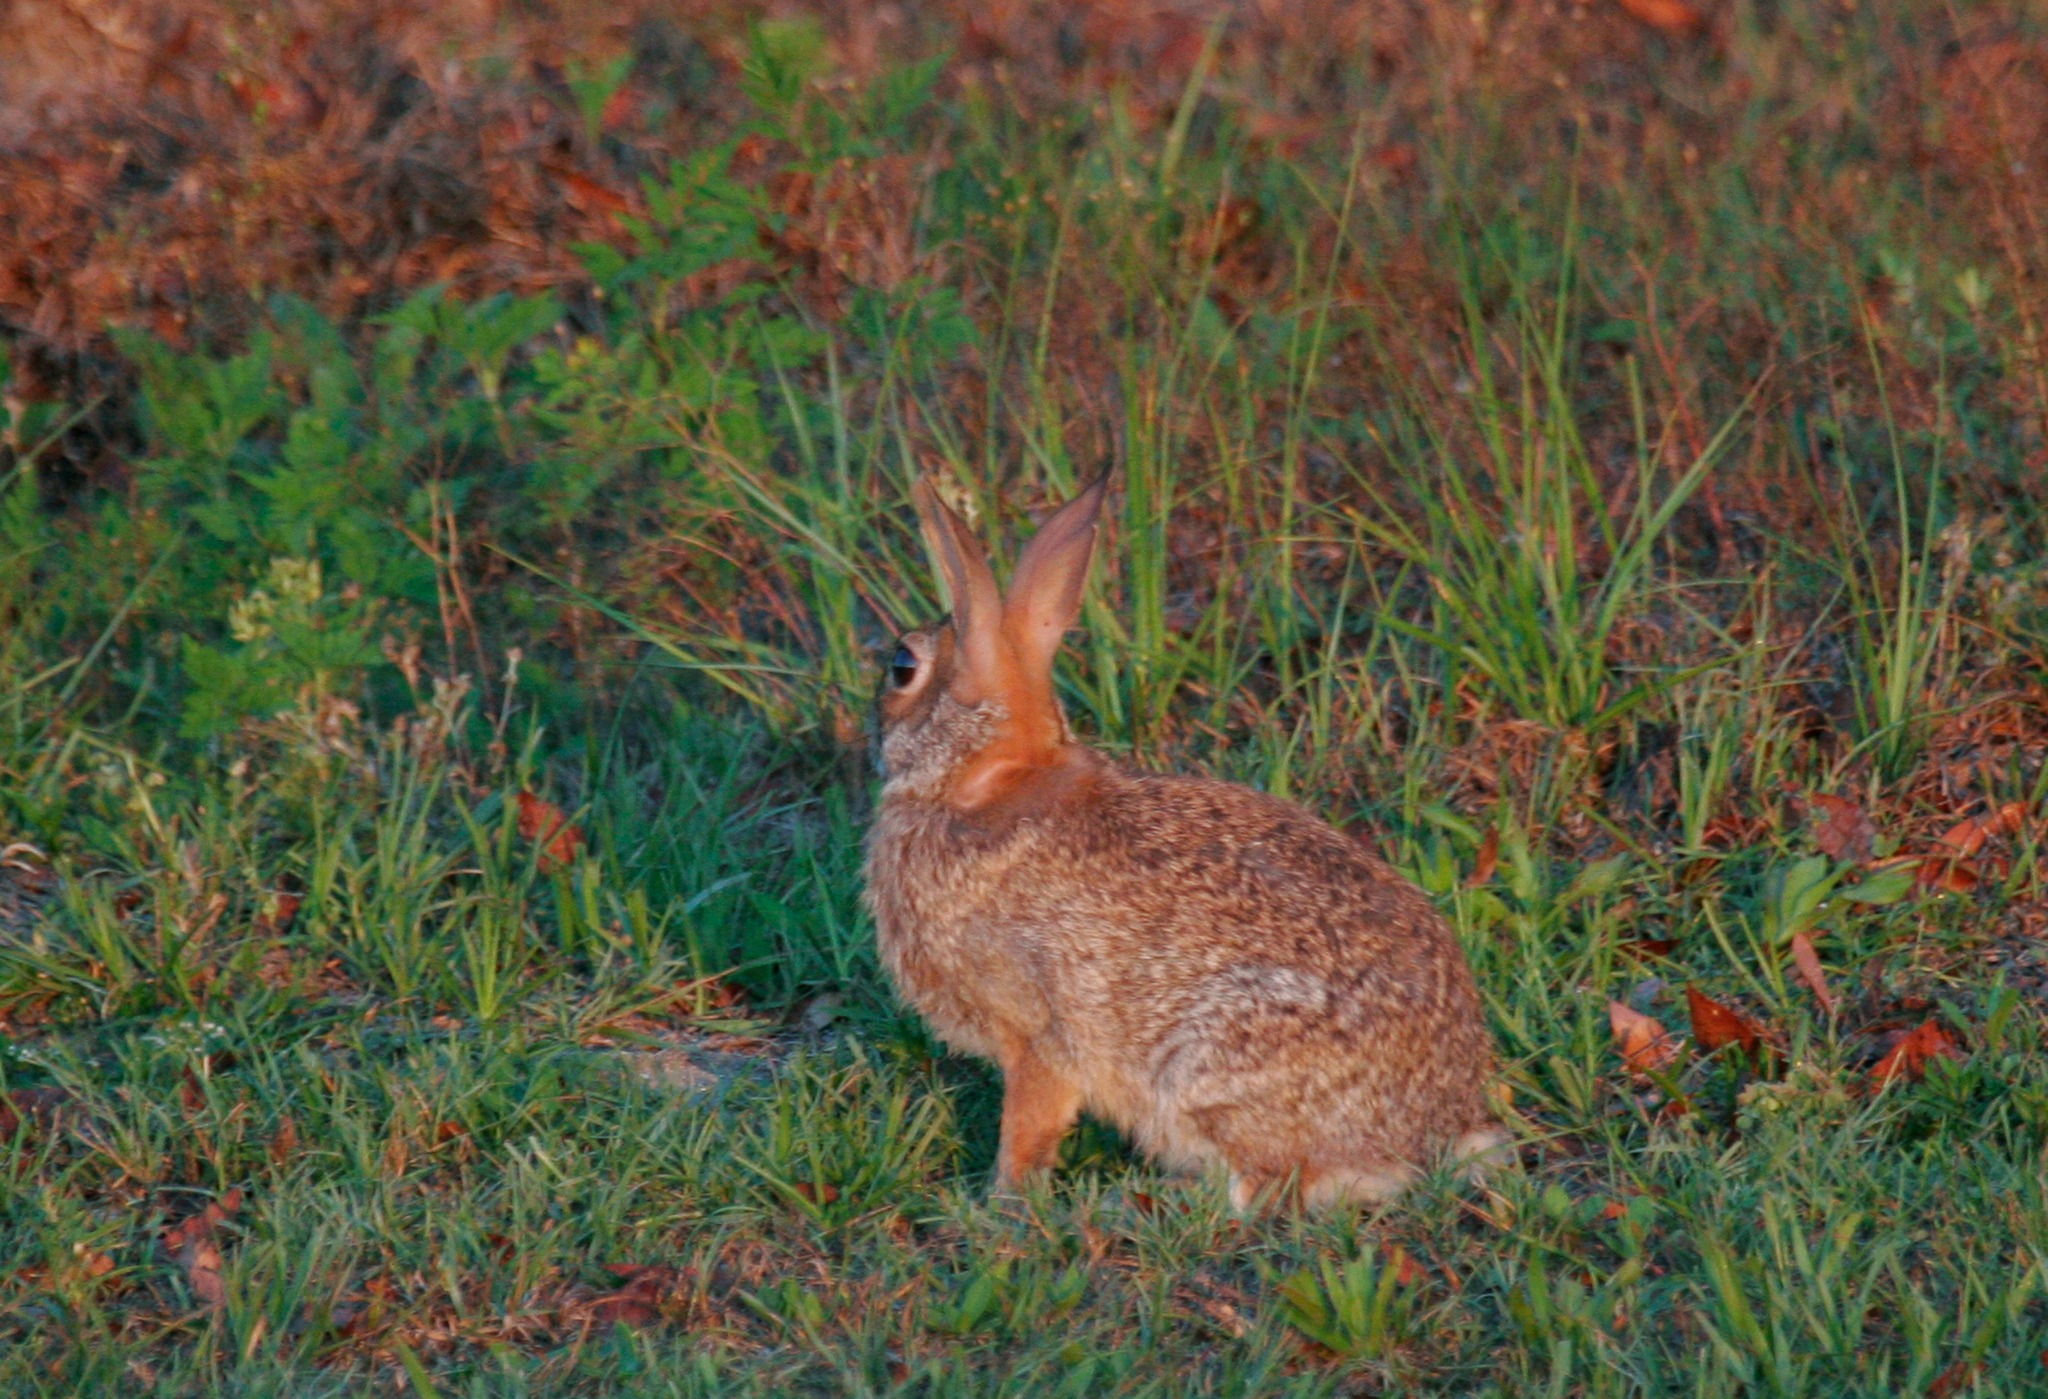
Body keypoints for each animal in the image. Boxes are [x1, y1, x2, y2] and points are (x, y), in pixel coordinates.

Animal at [863, 475, 1505, 1209]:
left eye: (902, 667)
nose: (874, 734)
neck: (987, 778)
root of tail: (1428, 1136)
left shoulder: (1038, 1033)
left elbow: (1028, 1128)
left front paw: (1002, 1204)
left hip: (1207, 1069)